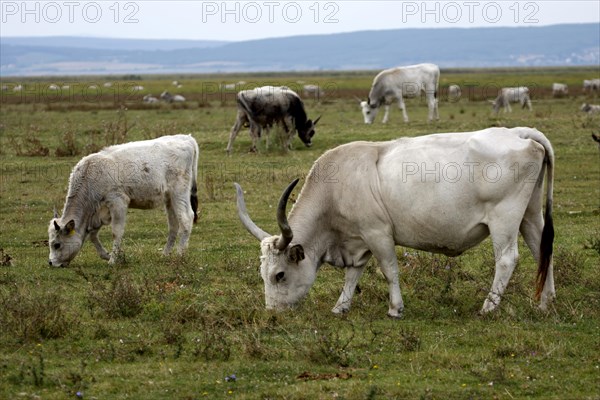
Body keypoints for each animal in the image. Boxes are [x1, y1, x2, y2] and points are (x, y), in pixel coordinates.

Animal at [49, 133, 199, 268]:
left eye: (57, 244)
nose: (50, 263)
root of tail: (186, 138)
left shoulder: (118, 202)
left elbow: (116, 232)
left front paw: (113, 260)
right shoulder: (99, 214)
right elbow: (92, 235)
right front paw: (106, 255)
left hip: (179, 193)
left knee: (186, 219)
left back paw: (180, 254)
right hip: (169, 199)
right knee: (173, 225)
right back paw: (165, 254)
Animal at [237, 126, 556, 318]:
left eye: (279, 275)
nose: (272, 312)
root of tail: (518, 133)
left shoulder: (377, 233)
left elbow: (389, 270)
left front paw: (395, 308)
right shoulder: (358, 240)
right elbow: (353, 275)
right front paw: (341, 307)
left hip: (504, 219)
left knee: (507, 259)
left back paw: (488, 307)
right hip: (530, 215)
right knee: (543, 251)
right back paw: (545, 303)